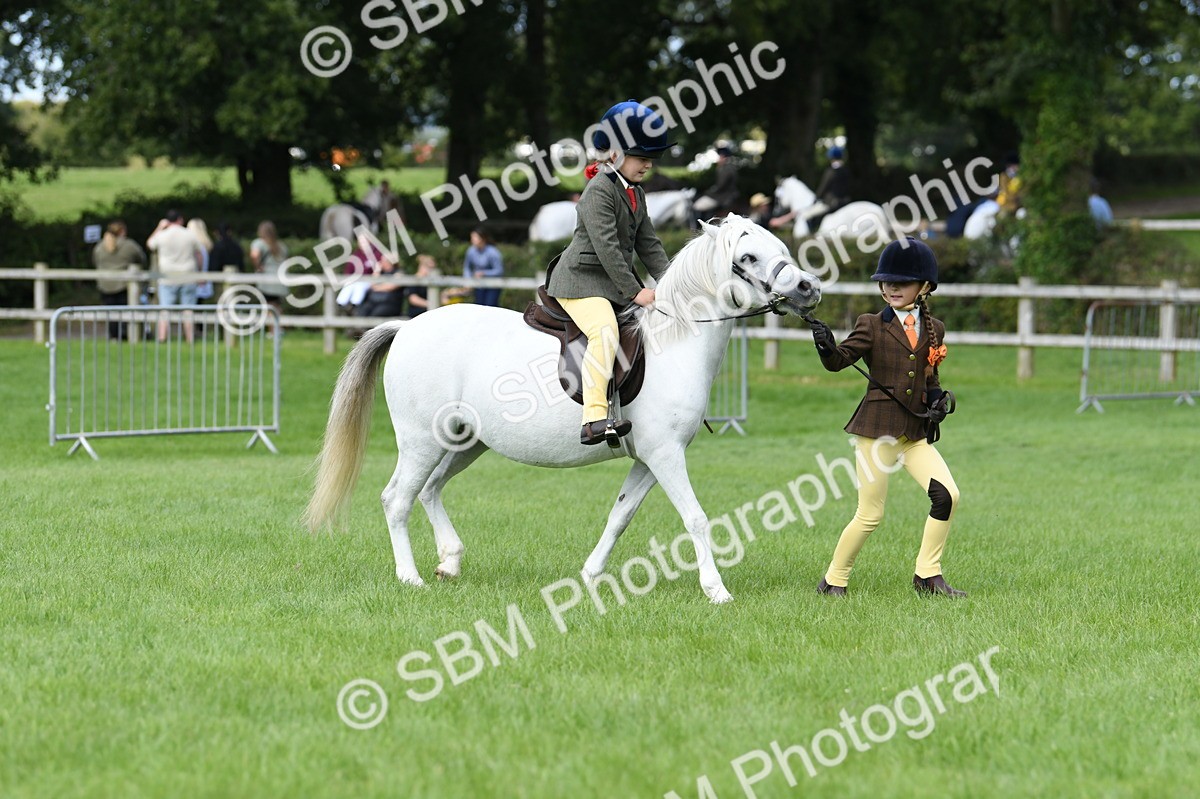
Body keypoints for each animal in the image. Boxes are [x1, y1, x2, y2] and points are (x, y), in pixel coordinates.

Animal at [304, 215, 822, 603]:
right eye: (747, 258)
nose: (808, 288)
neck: (674, 342)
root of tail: (406, 327)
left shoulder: (649, 460)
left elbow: (620, 515)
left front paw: (591, 576)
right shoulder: (666, 455)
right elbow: (695, 517)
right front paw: (716, 590)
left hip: (463, 442)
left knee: (429, 490)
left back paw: (449, 561)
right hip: (421, 442)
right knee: (398, 498)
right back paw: (409, 577)